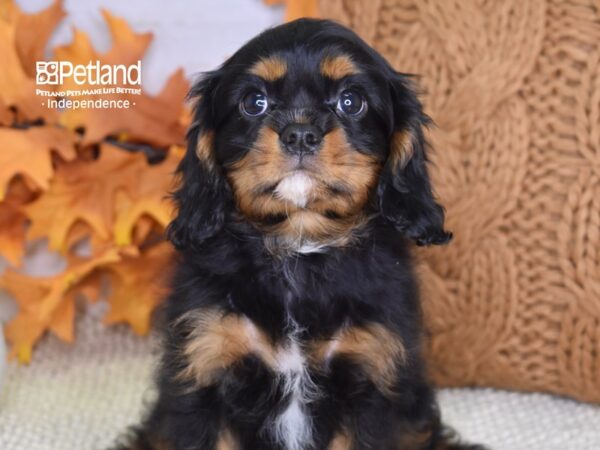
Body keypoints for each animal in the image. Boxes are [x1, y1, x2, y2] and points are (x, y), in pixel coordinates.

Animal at [115, 18, 486, 450]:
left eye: (351, 101)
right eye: (254, 102)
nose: (300, 133)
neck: (300, 249)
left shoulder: (371, 380)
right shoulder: (205, 371)